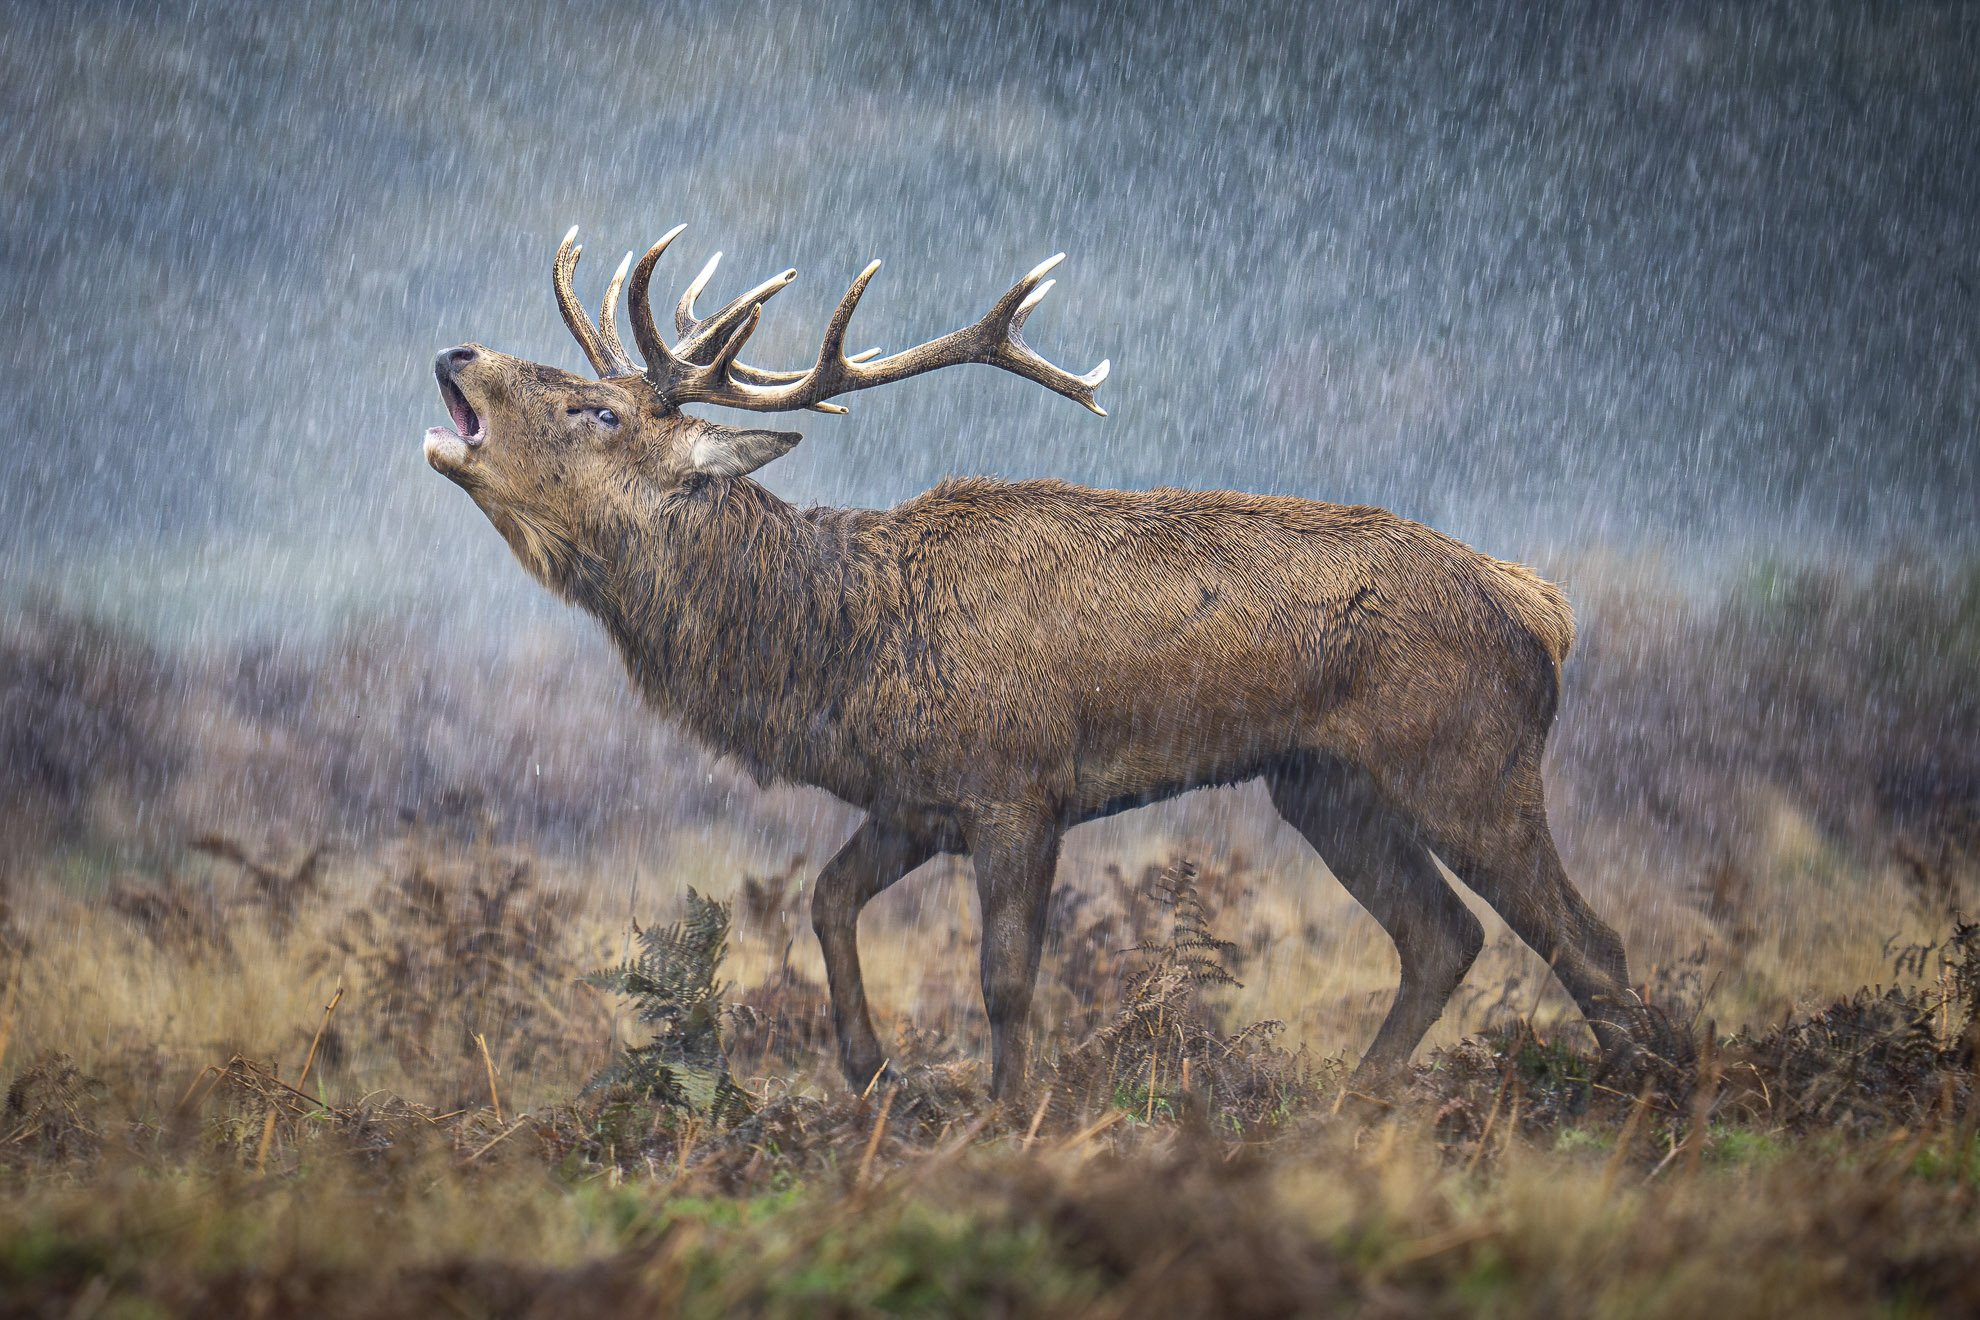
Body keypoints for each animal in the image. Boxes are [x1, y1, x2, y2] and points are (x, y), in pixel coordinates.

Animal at [423, 223, 1641, 1100]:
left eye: (598, 410)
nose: (457, 351)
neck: (842, 654)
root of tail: (1544, 607)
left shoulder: (1020, 786)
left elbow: (1005, 978)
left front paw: (1009, 1116)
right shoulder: (915, 799)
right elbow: (825, 900)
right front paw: (875, 1077)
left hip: (1465, 757)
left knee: (1588, 939)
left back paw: (1642, 1099)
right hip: (1323, 784)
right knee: (1443, 936)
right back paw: (1355, 1105)